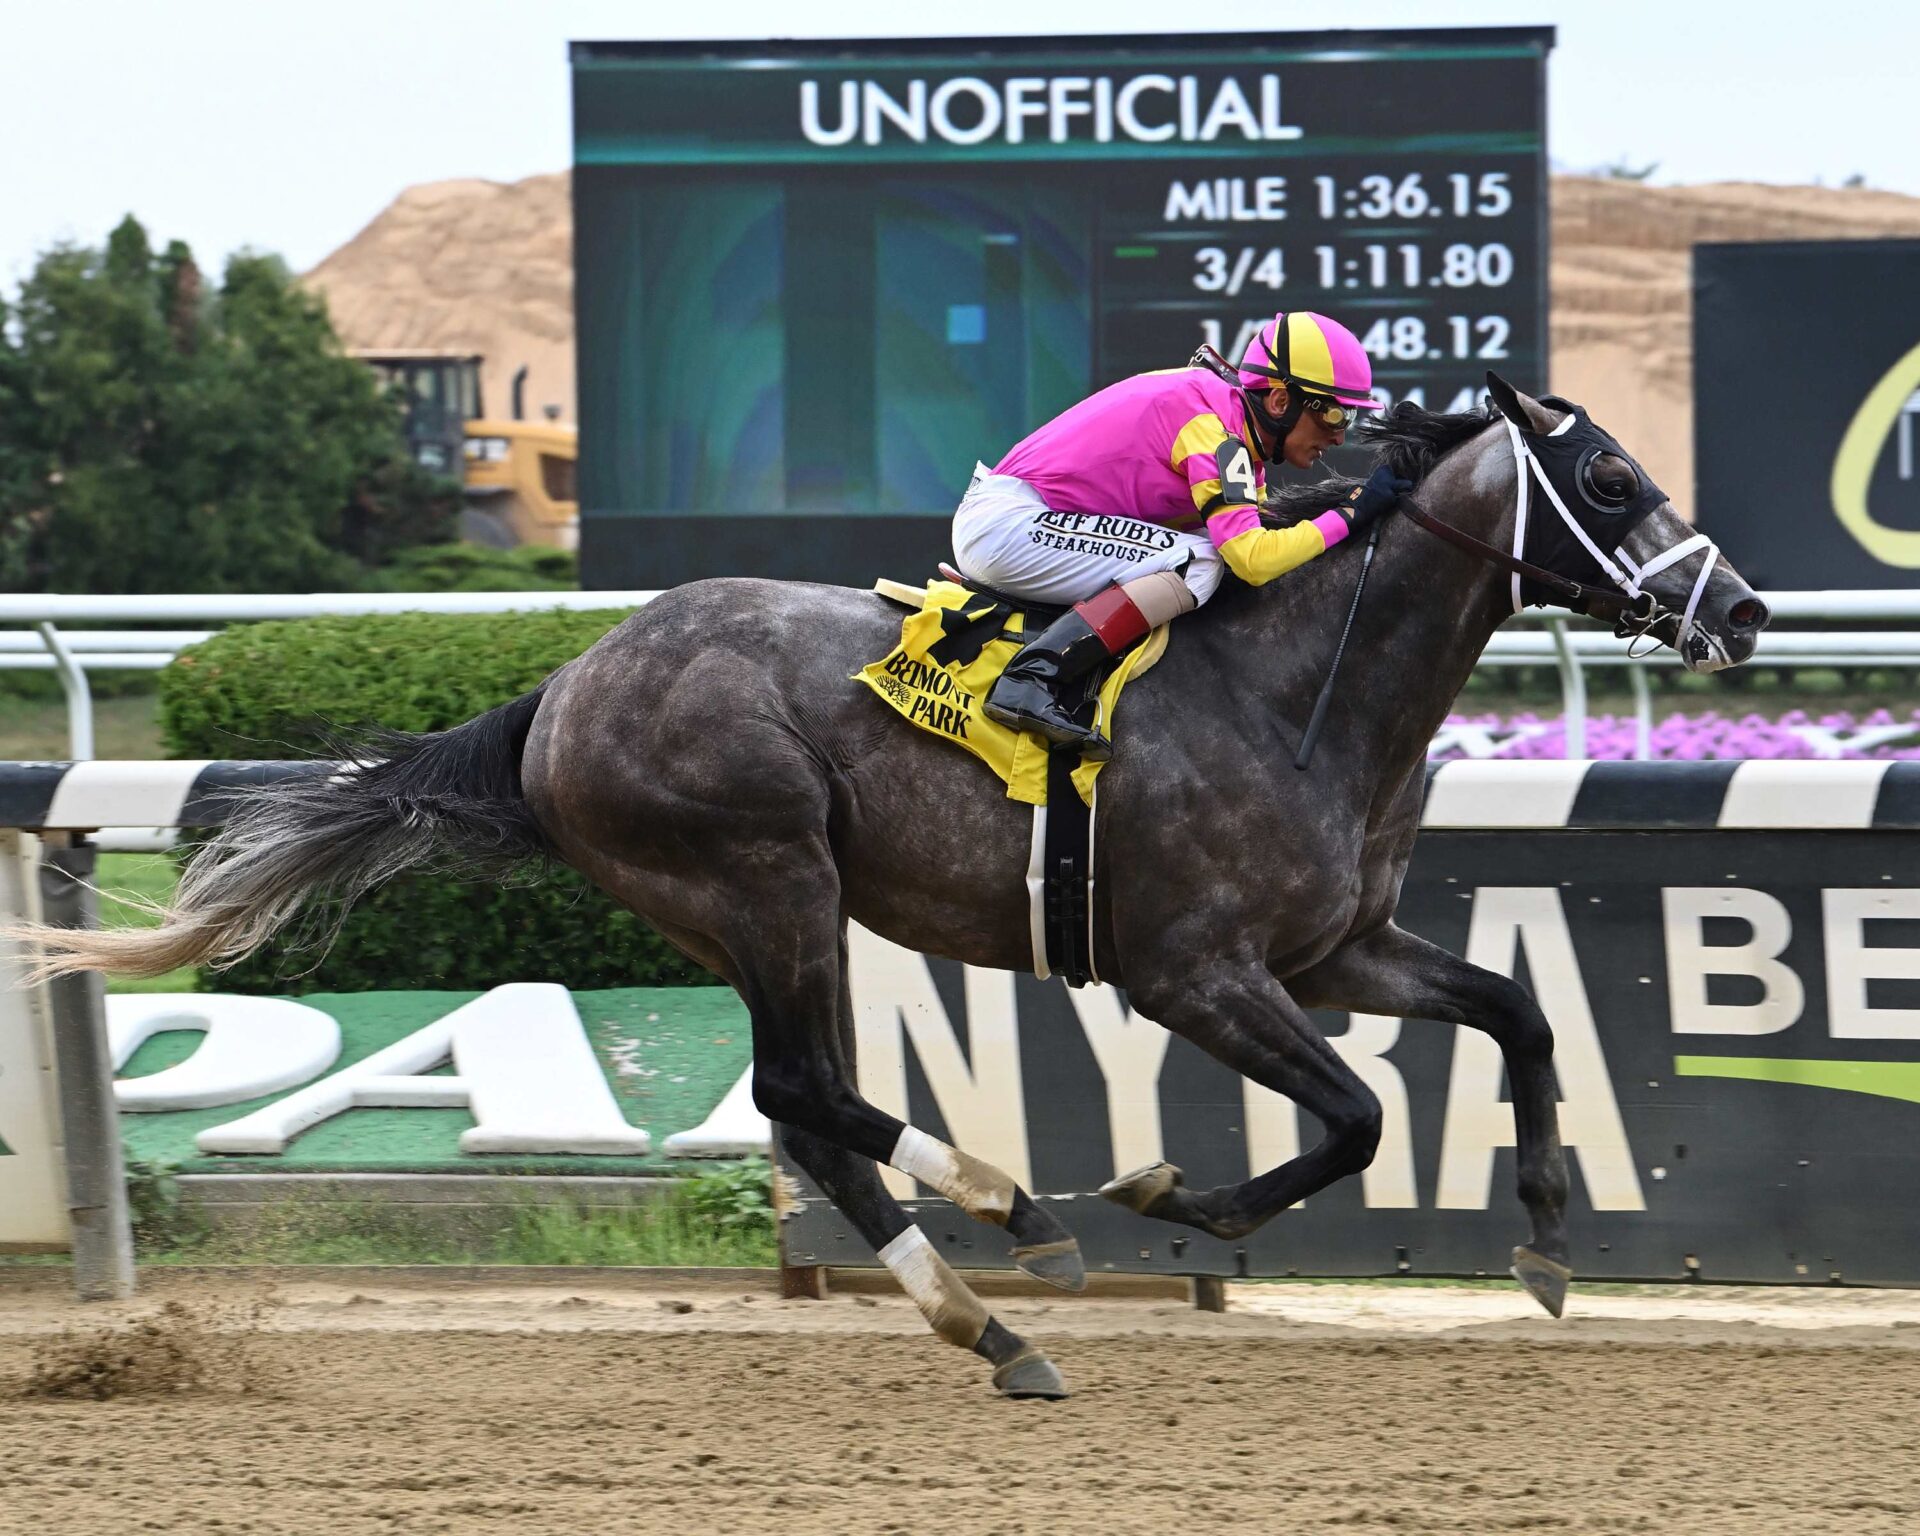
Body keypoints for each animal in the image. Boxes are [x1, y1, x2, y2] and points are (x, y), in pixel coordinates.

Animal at [26, 375, 1768, 1399]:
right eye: (1613, 479)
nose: (1742, 609)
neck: (1293, 687)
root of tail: (566, 687)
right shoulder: (1191, 970)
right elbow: (1349, 1117)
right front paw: (1171, 1196)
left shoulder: (1338, 948)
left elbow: (1518, 1017)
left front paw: (1547, 1243)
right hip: (765, 868)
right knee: (804, 1088)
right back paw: (1018, 1220)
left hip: (753, 905)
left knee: (806, 1110)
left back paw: (989, 1321)